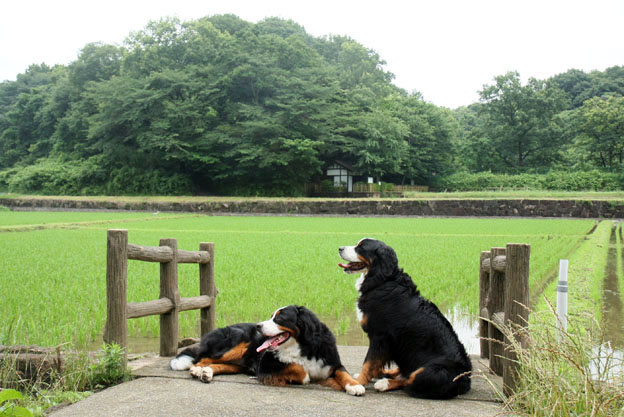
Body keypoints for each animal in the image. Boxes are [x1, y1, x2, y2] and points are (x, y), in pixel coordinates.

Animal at [171, 304, 366, 394]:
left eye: (279, 318)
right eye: (271, 316)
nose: (258, 326)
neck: (302, 347)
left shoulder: (332, 363)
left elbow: (344, 373)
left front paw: (355, 386)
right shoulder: (267, 365)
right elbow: (299, 369)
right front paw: (304, 376)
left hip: (238, 362)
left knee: (216, 364)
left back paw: (207, 373)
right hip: (237, 343)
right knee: (202, 358)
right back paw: (197, 370)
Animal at [338, 237, 470, 396]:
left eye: (361, 247)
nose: (340, 248)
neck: (382, 281)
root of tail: (466, 379)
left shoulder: (380, 336)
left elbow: (368, 362)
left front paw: (358, 383)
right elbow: (374, 363)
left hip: (433, 371)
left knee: (409, 380)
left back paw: (384, 383)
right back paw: (386, 373)